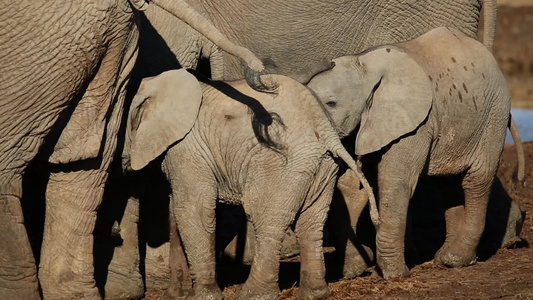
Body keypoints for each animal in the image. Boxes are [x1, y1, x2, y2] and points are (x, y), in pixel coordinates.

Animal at [121, 68, 374, 300]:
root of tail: (326, 129)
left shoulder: (187, 146)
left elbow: (194, 210)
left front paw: (205, 296)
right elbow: (176, 211)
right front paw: (178, 295)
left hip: (279, 164)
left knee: (265, 218)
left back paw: (253, 294)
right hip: (322, 166)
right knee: (311, 224)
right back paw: (315, 294)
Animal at [306, 27, 510, 278]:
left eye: (331, 103)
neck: (363, 65)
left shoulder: (416, 123)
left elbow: (395, 183)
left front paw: (394, 275)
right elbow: (351, 186)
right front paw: (356, 270)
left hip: (494, 114)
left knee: (476, 180)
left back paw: (457, 259)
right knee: (449, 183)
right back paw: (445, 258)